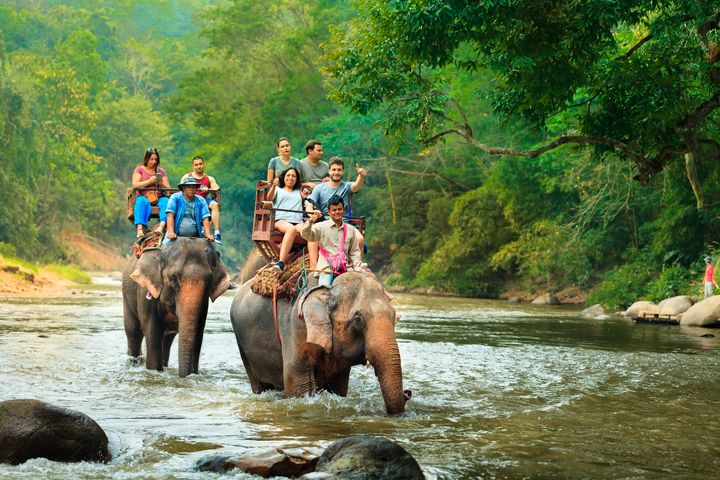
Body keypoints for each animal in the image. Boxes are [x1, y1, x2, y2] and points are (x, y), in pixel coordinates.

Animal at [122, 238, 231, 376]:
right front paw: (154, 371)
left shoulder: (204, 304)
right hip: (126, 294)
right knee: (133, 332)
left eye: (209, 280)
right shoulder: (145, 291)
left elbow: (199, 332)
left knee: (167, 340)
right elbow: (152, 331)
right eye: (173, 278)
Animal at [231, 272, 410, 414]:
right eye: (358, 320)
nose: (407, 393)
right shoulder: (297, 325)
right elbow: (298, 384)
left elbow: (338, 386)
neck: (327, 290)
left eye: (395, 317)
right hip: (242, 344)